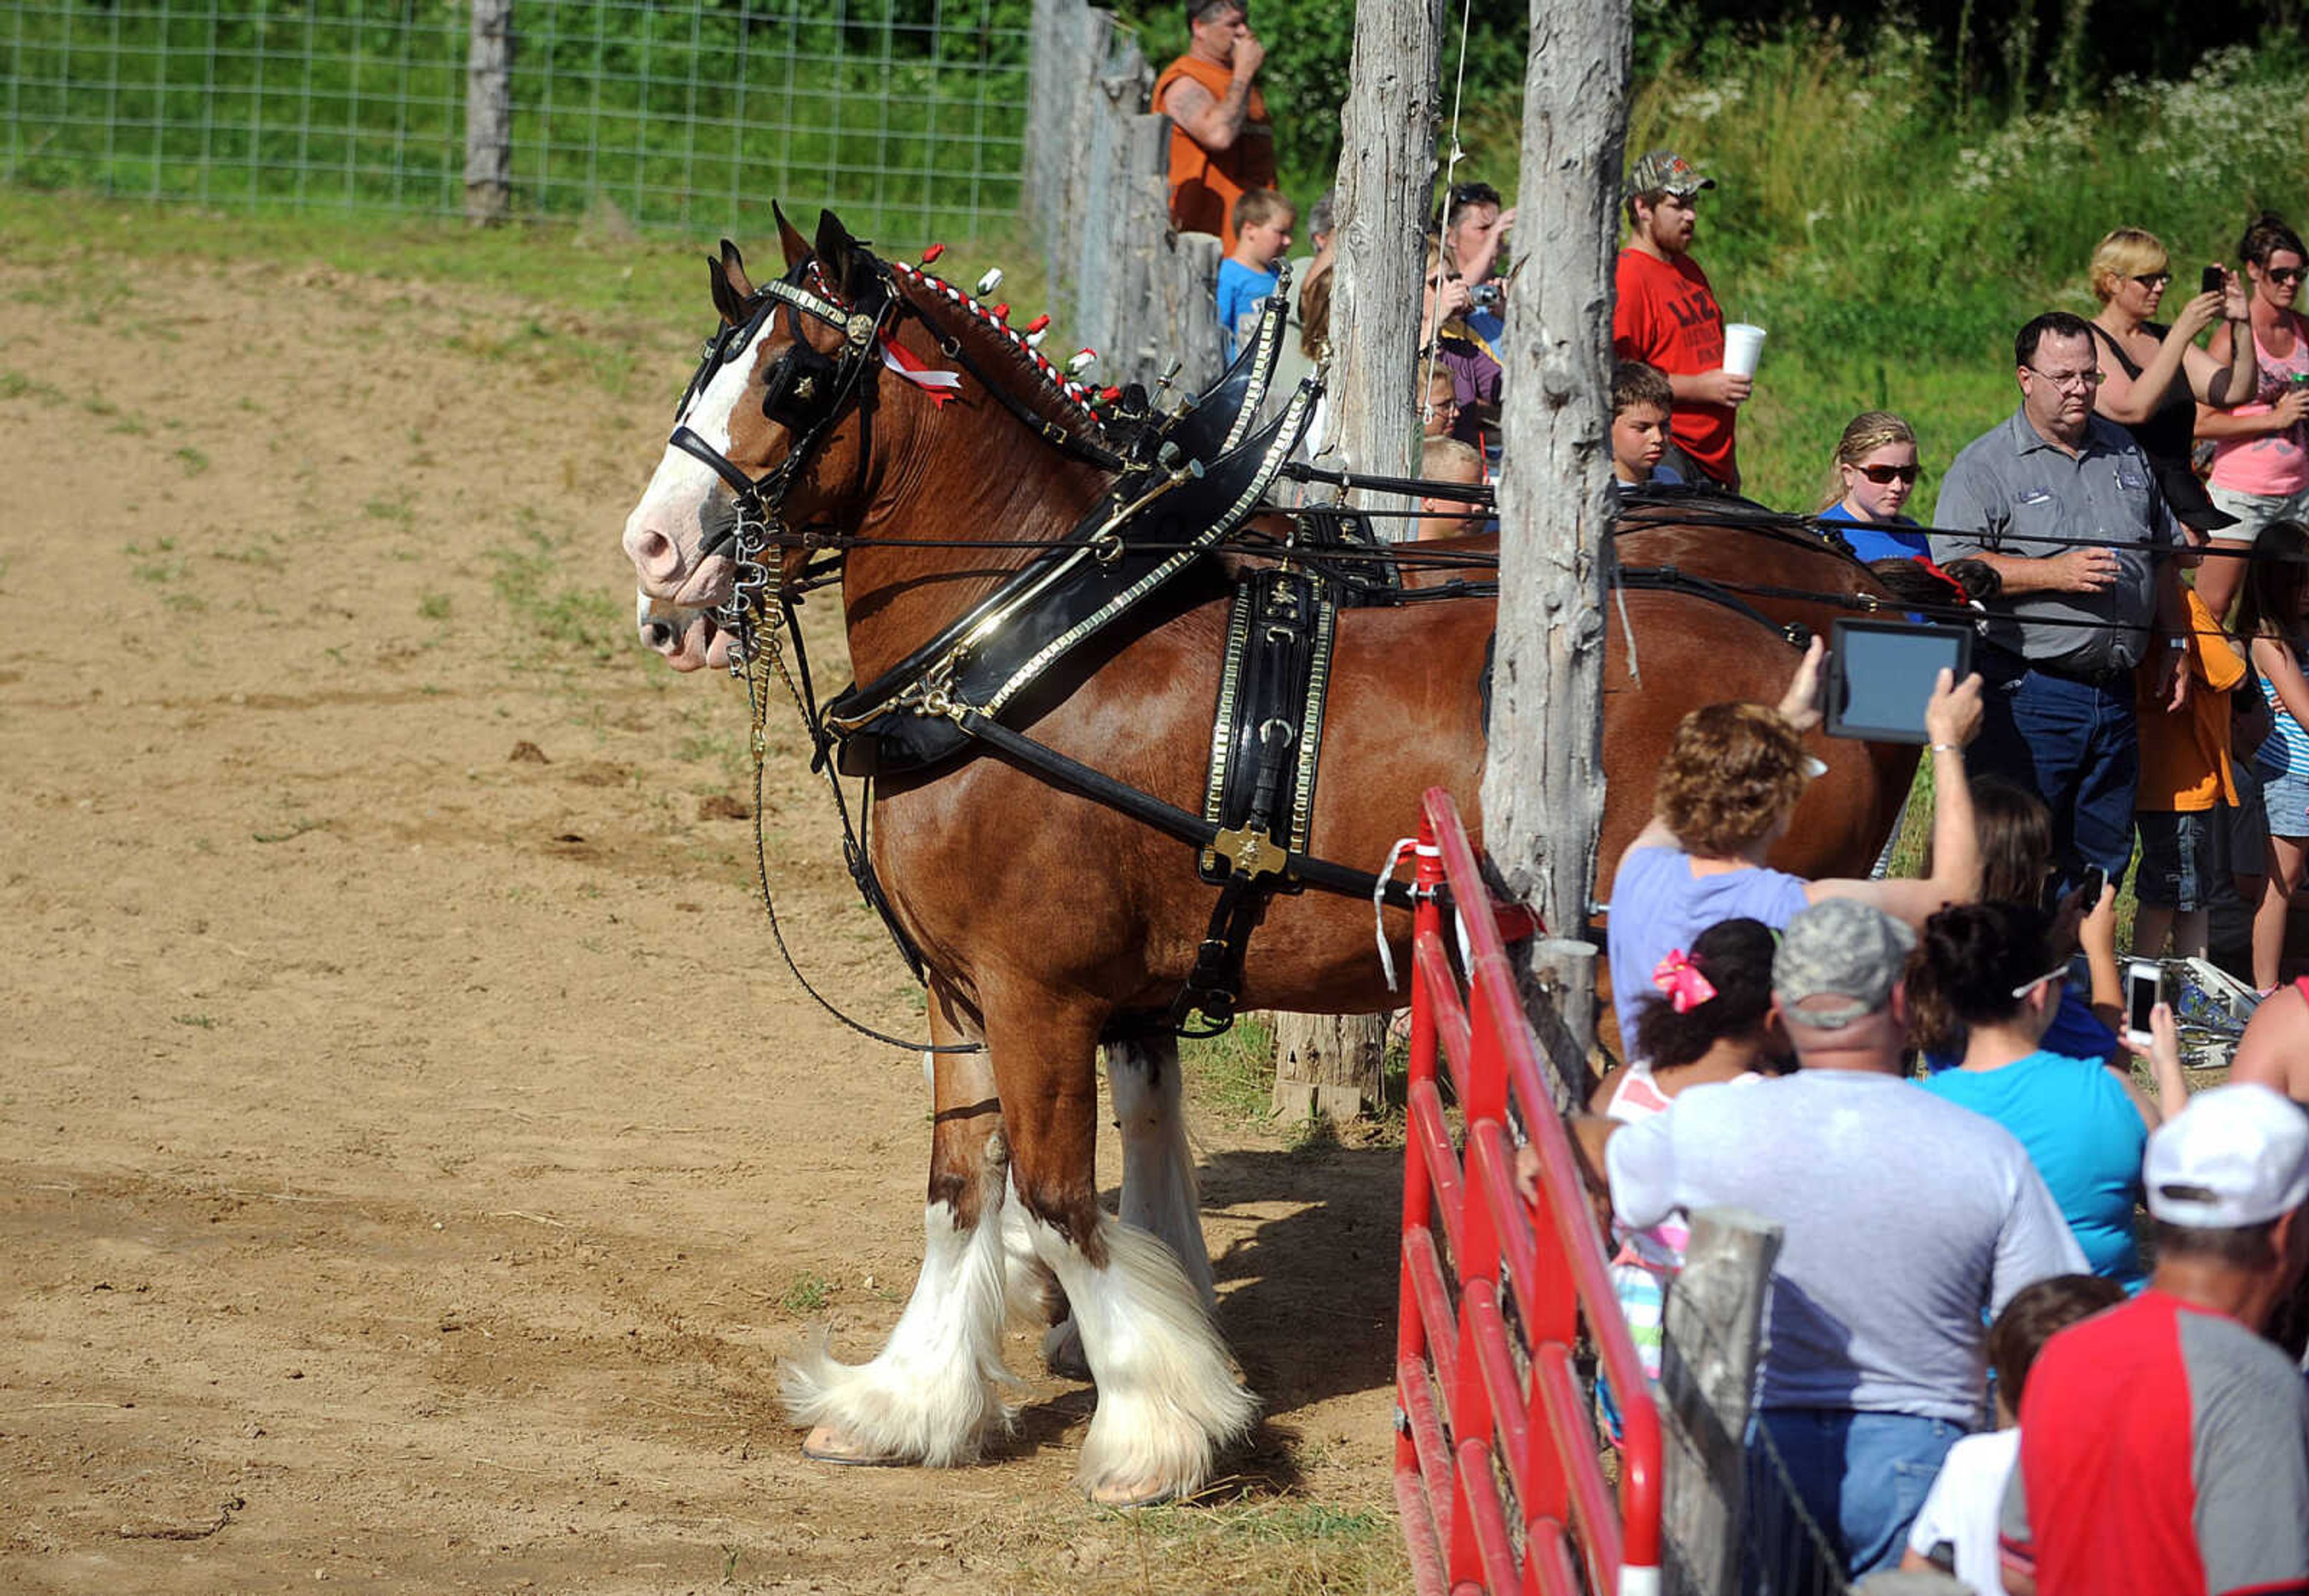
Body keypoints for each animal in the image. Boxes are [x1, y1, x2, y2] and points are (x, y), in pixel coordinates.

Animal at [623, 216, 1921, 1515]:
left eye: (791, 382)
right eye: (709, 361)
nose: (656, 550)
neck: (1020, 649)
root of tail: (1846, 626)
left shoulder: (1043, 995)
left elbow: (1057, 1199)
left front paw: (1155, 1424)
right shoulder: (964, 988)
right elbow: (961, 1188)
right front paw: (907, 1401)